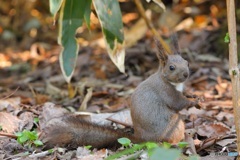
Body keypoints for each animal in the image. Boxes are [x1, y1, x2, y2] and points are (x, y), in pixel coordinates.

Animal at [40, 34, 199, 149]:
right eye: (171, 67)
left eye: (187, 62)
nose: (186, 74)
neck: (170, 81)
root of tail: (143, 139)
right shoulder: (166, 92)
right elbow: (178, 103)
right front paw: (194, 101)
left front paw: (193, 94)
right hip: (174, 126)